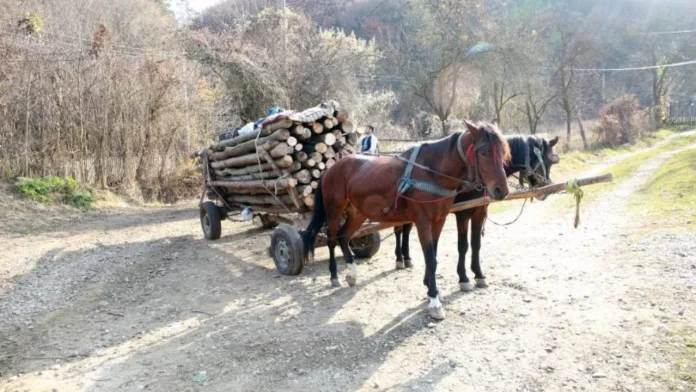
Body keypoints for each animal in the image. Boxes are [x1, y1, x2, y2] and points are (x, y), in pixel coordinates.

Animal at [304, 121, 512, 320]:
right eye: (483, 152)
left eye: (503, 152)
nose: (502, 190)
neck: (432, 172)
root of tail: (331, 168)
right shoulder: (423, 222)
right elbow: (431, 259)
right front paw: (434, 301)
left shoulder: (439, 220)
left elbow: (434, 255)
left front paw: (430, 287)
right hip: (334, 211)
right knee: (332, 239)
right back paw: (334, 276)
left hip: (357, 212)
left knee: (344, 236)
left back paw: (352, 273)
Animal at [392, 135, 560, 290]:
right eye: (535, 157)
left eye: (551, 161)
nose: (544, 189)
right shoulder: (463, 214)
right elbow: (463, 245)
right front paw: (463, 278)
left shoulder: (479, 212)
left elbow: (476, 244)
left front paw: (479, 275)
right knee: (399, 230)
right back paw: (399, 259)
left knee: (406, 230)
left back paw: (406, 258)